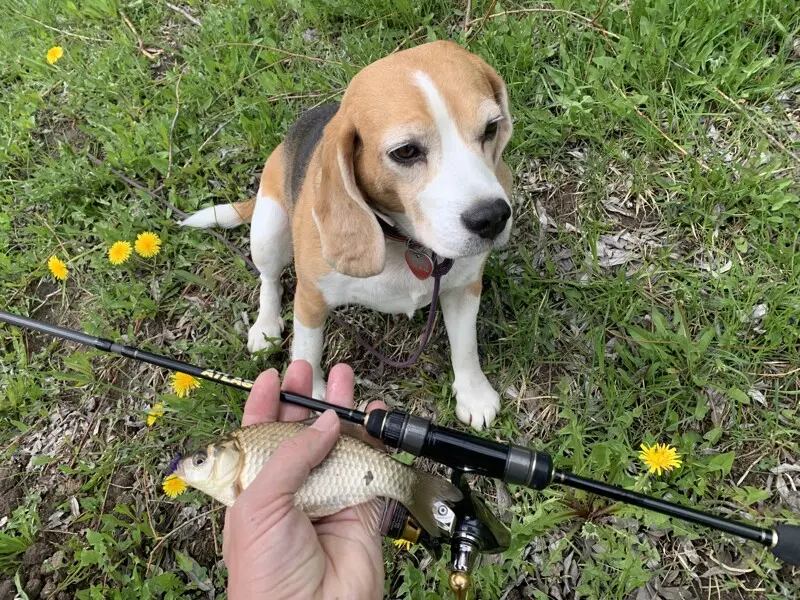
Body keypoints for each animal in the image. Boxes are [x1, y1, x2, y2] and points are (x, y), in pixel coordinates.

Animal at [180, 39, 512, 428]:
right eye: (406, 151)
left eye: (491, 128)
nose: (492, 217)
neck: (403, 240)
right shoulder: (311, 296)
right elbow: (307, 351)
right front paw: (309, 392)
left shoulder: (464, 287)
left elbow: (466, 344)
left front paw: (474, 394)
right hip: (269, 227)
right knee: (269, 278)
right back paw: (265, 327)